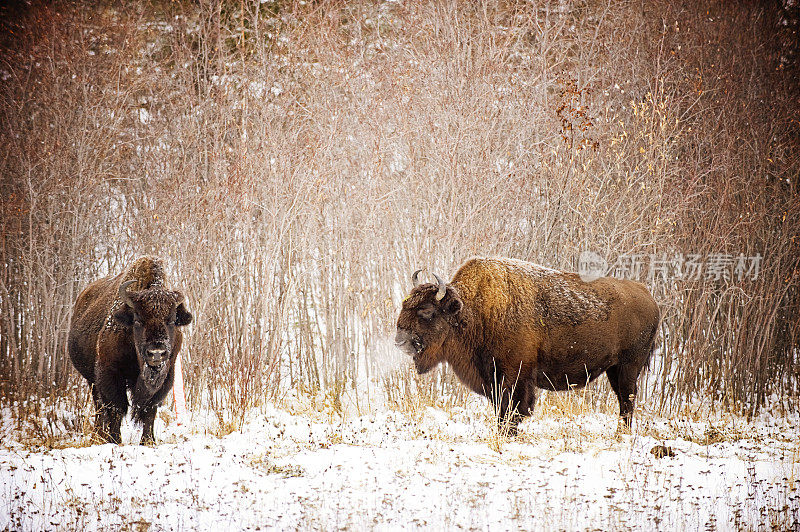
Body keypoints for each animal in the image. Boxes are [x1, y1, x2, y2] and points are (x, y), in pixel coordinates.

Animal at [69, 258, 192, 444]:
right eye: (138, 320)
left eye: (171, 321)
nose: (156, 353)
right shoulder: (110, 373)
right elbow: (116, 407)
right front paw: (115, 439)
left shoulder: (166, 376)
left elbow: (150, 410)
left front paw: (148, 441)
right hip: (91, 379)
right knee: (99, 406)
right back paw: (98, 434)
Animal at [396, 256, 664, 432]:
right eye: (404, 304)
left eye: (427, 310)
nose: (400, 340)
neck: (474, 310)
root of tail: (648, 296)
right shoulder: (494, 379)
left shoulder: (515, 377)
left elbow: (512, 411)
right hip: (614, 369)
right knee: (623, 400)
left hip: (629, 366)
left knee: (627, 399)